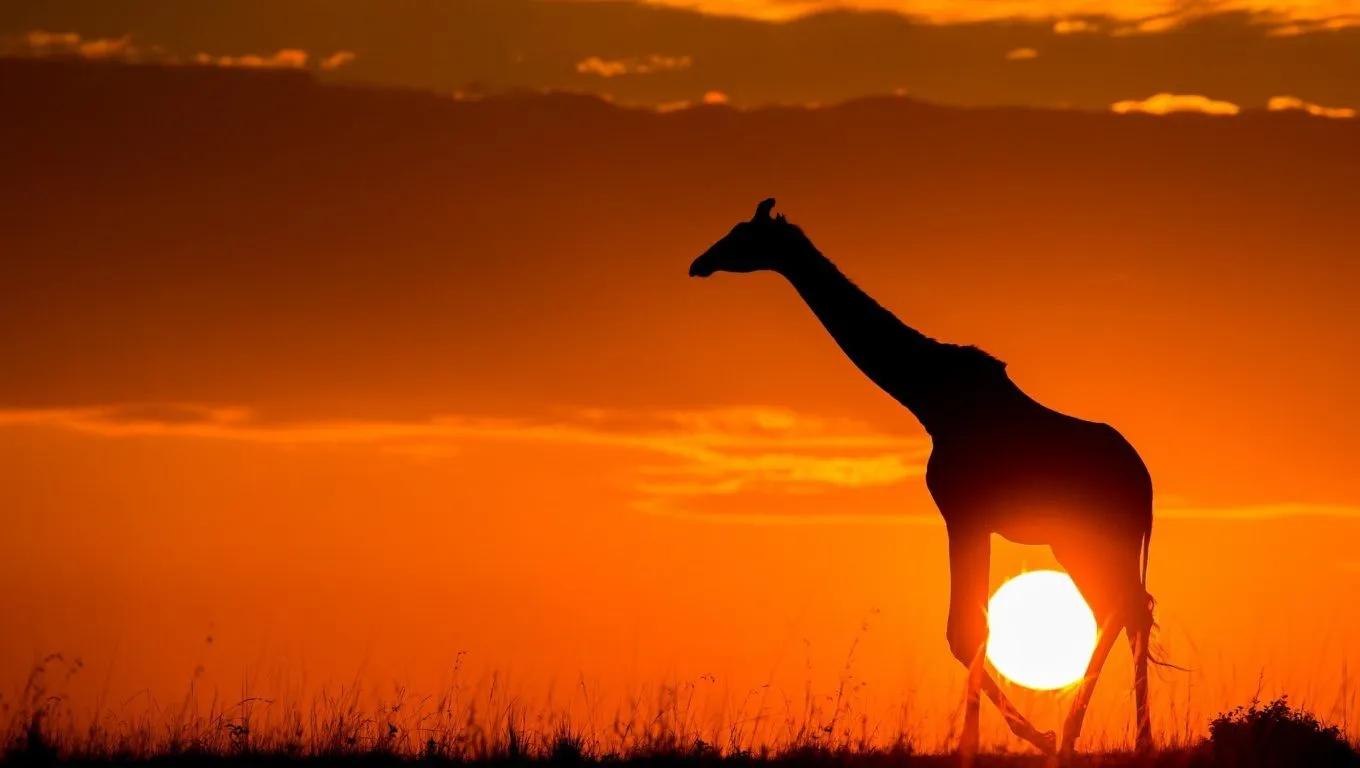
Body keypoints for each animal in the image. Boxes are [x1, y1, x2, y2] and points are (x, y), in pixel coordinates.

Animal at [688, 199, 1155, 763]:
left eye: (742, 234)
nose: (700, 263)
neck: (928, 398)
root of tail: (1145, 482)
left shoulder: (964, 512)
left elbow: (966, 630)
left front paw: (980, 744)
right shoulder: (972, 518)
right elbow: (971, 629)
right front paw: (1009, 737)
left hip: (1097, 538)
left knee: (1125, 609)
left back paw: (1087, 738)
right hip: (1076, 542)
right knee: (1126, 610)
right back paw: (1109, 737)